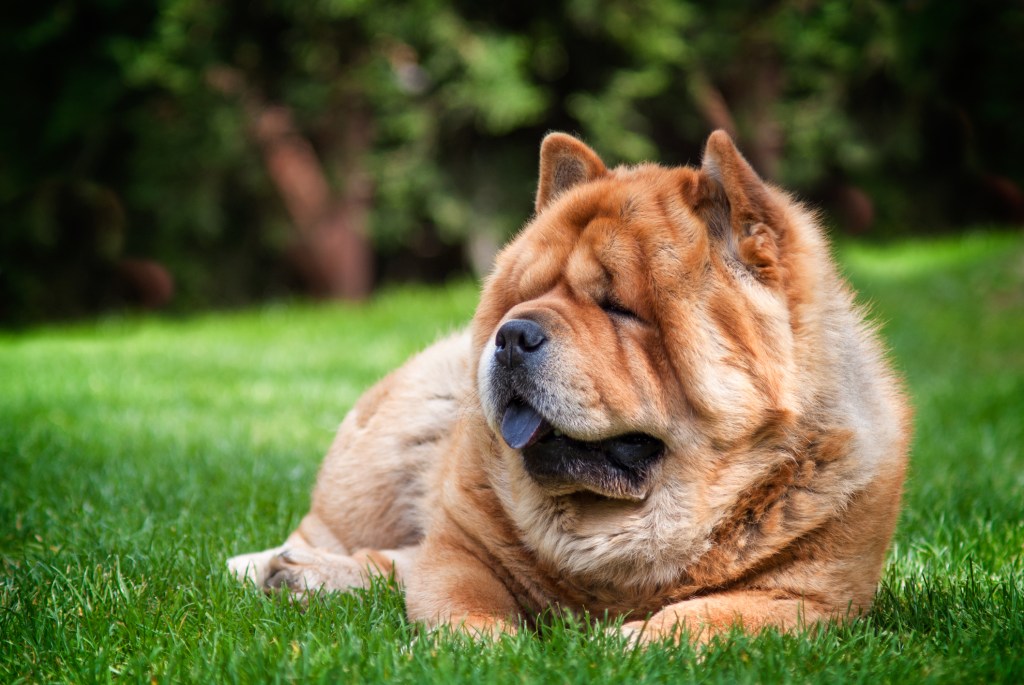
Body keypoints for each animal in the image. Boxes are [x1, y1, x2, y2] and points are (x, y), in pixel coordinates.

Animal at [228, 127, 909, 643]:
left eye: (619, 308)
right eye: (525, 296)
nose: (512, 334)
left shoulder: (812, 599)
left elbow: (699, 616)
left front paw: (620, 644)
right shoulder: (461, 551)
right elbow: (463, 600)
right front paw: (492, 652)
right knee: (346, 541)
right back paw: (276, 568)